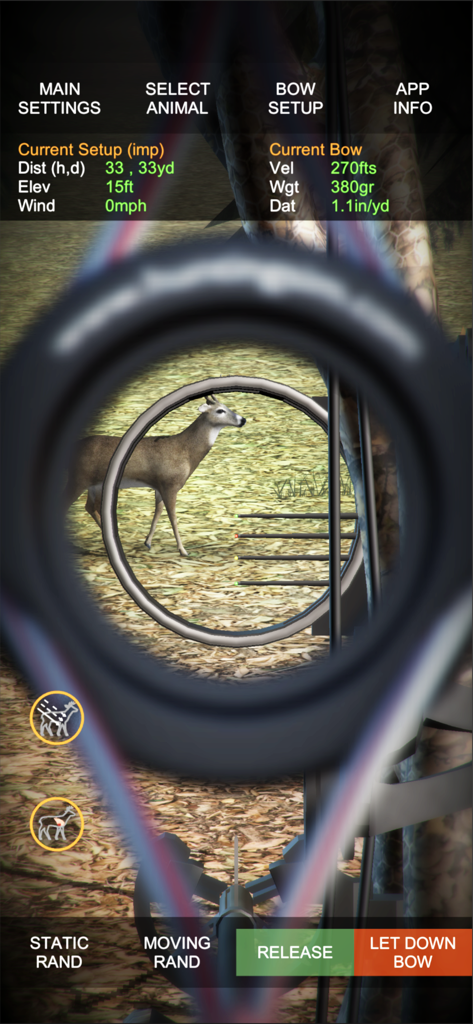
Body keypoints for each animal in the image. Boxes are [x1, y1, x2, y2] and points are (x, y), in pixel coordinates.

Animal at [65, 395, 246, 557]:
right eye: (220, 410)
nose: (242, 420)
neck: (185, 452)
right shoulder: (170, 484)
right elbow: (173, 517)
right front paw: (183, 550)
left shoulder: (159, 485)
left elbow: (157, 512)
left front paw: (148, 542)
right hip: (80, 479)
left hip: (94, 484)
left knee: (90, 507)